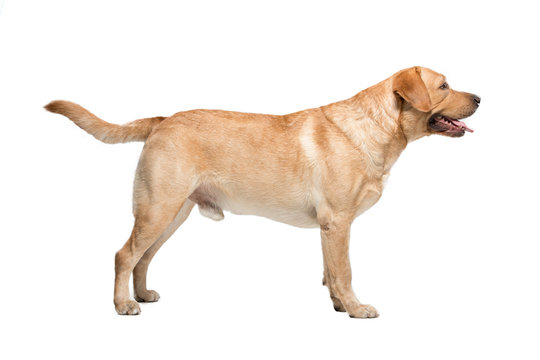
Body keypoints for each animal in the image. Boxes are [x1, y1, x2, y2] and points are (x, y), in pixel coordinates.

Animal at [44, 66, 478, 316]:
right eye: (444, 85)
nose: (479, 97)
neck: (378, 126)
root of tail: (163, 120)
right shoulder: (338, 223)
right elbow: (344, 271)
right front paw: (356, 308)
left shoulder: (329, 228)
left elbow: (330, 271)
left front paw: (339, 306)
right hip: (158, 208)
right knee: (124, 255)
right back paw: (122, 305)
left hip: (171, 214)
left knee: (142, 259)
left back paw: (142, 295)